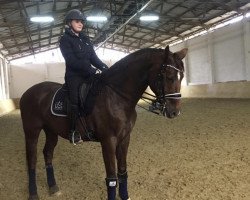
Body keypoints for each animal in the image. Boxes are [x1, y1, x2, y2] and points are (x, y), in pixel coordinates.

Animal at [20, 45, 188, 200]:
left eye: (181, 77)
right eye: (168, 76)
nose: (175, 112)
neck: (116, 96)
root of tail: (28, 92)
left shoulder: (124, 139)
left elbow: (122, 171)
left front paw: (125, 196)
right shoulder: (108, 141)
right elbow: (112, 178)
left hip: (51, 131)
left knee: (47, 153)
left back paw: (53, 187)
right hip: (32, 131)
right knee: (31, 160)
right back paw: (33, 194)